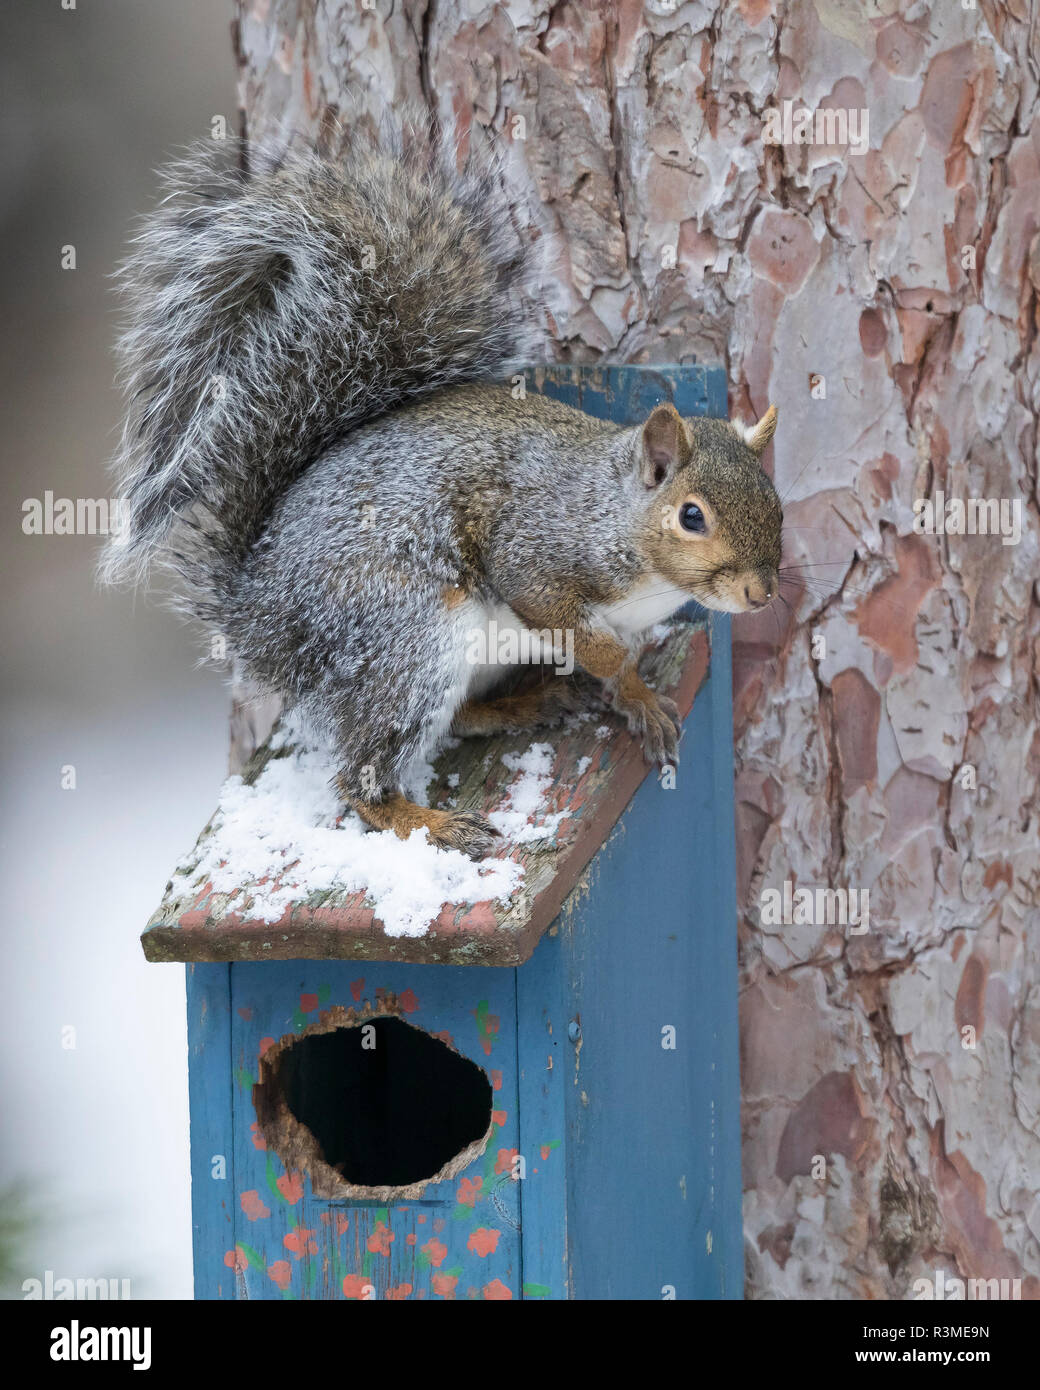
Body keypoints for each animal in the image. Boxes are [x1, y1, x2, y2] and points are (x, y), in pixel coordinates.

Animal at [105, 119, 784, 856]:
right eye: (691, 516)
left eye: (776, 504)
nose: (761, 594)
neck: (622, 525)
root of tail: (255, 610)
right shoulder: (537, 552)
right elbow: (576, 628)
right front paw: (621, 667)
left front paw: (634, 695)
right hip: (406, 638)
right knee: (362, 778)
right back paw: (432, 822)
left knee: (456, 721)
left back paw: (528, 702)